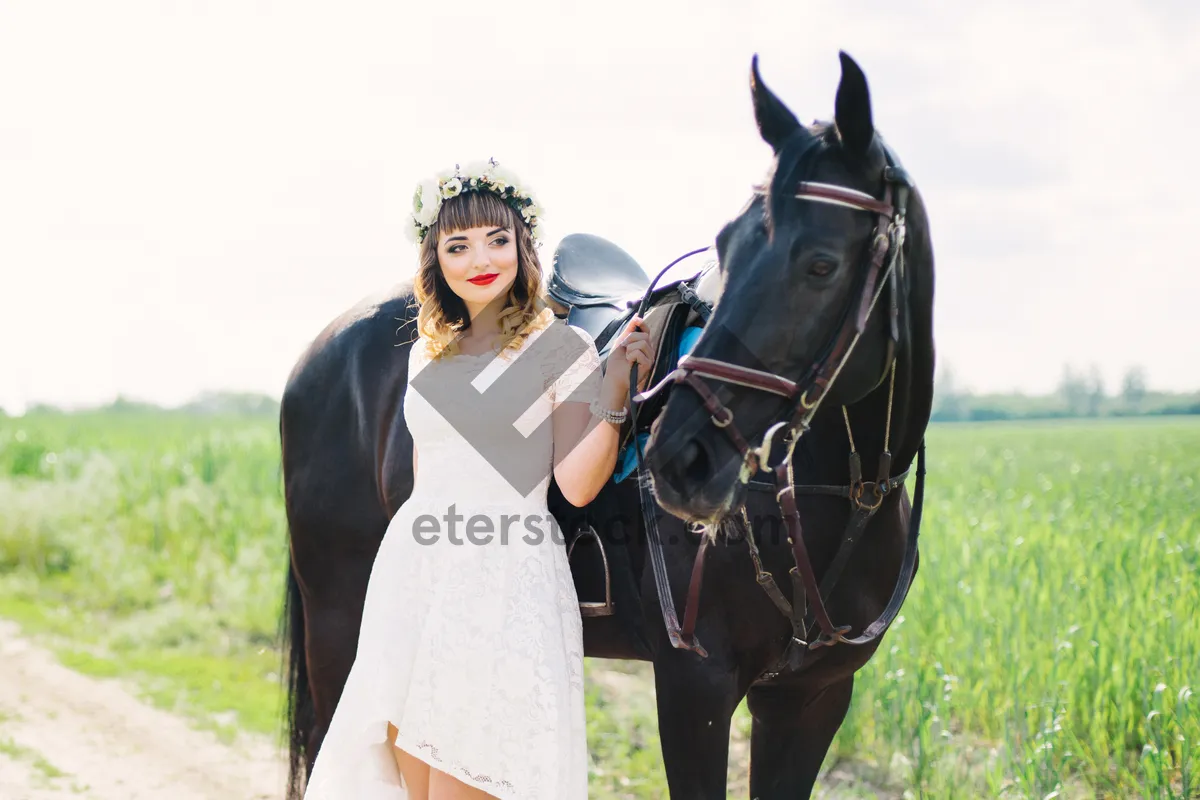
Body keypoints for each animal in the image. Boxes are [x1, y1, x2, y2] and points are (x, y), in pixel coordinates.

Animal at [278, 53, 936, 796]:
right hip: (338, 618)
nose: (680, 459)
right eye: (726, 248)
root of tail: (321, 349)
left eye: (821, 263)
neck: (839, 498)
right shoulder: (695, 687)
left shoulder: (811, 698)